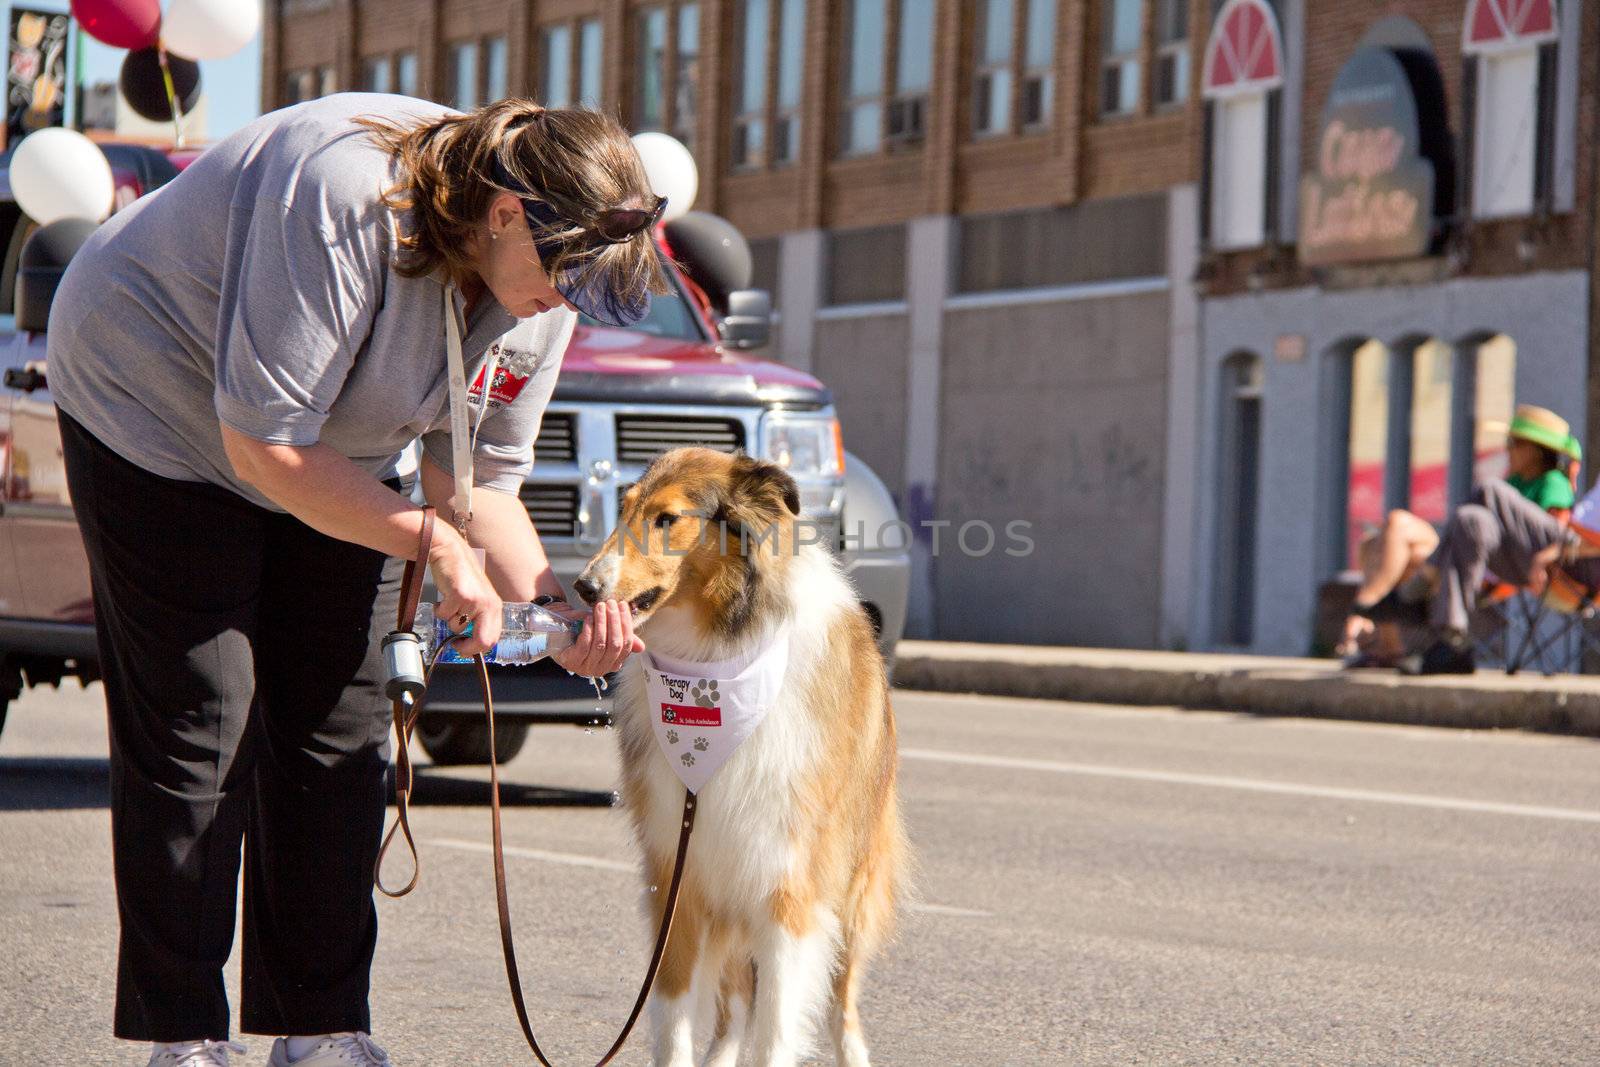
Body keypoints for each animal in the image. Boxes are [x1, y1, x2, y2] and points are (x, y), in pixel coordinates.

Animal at [569, 447, 908, 1067]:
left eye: (667, 518)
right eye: (624, 508)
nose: (584, 586)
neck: (714, 657)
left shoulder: (787, 885)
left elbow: (776, 1028)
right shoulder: (676, 875)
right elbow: (673, 1014)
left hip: (851, 892)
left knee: (840, 1006)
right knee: (731, 1013)